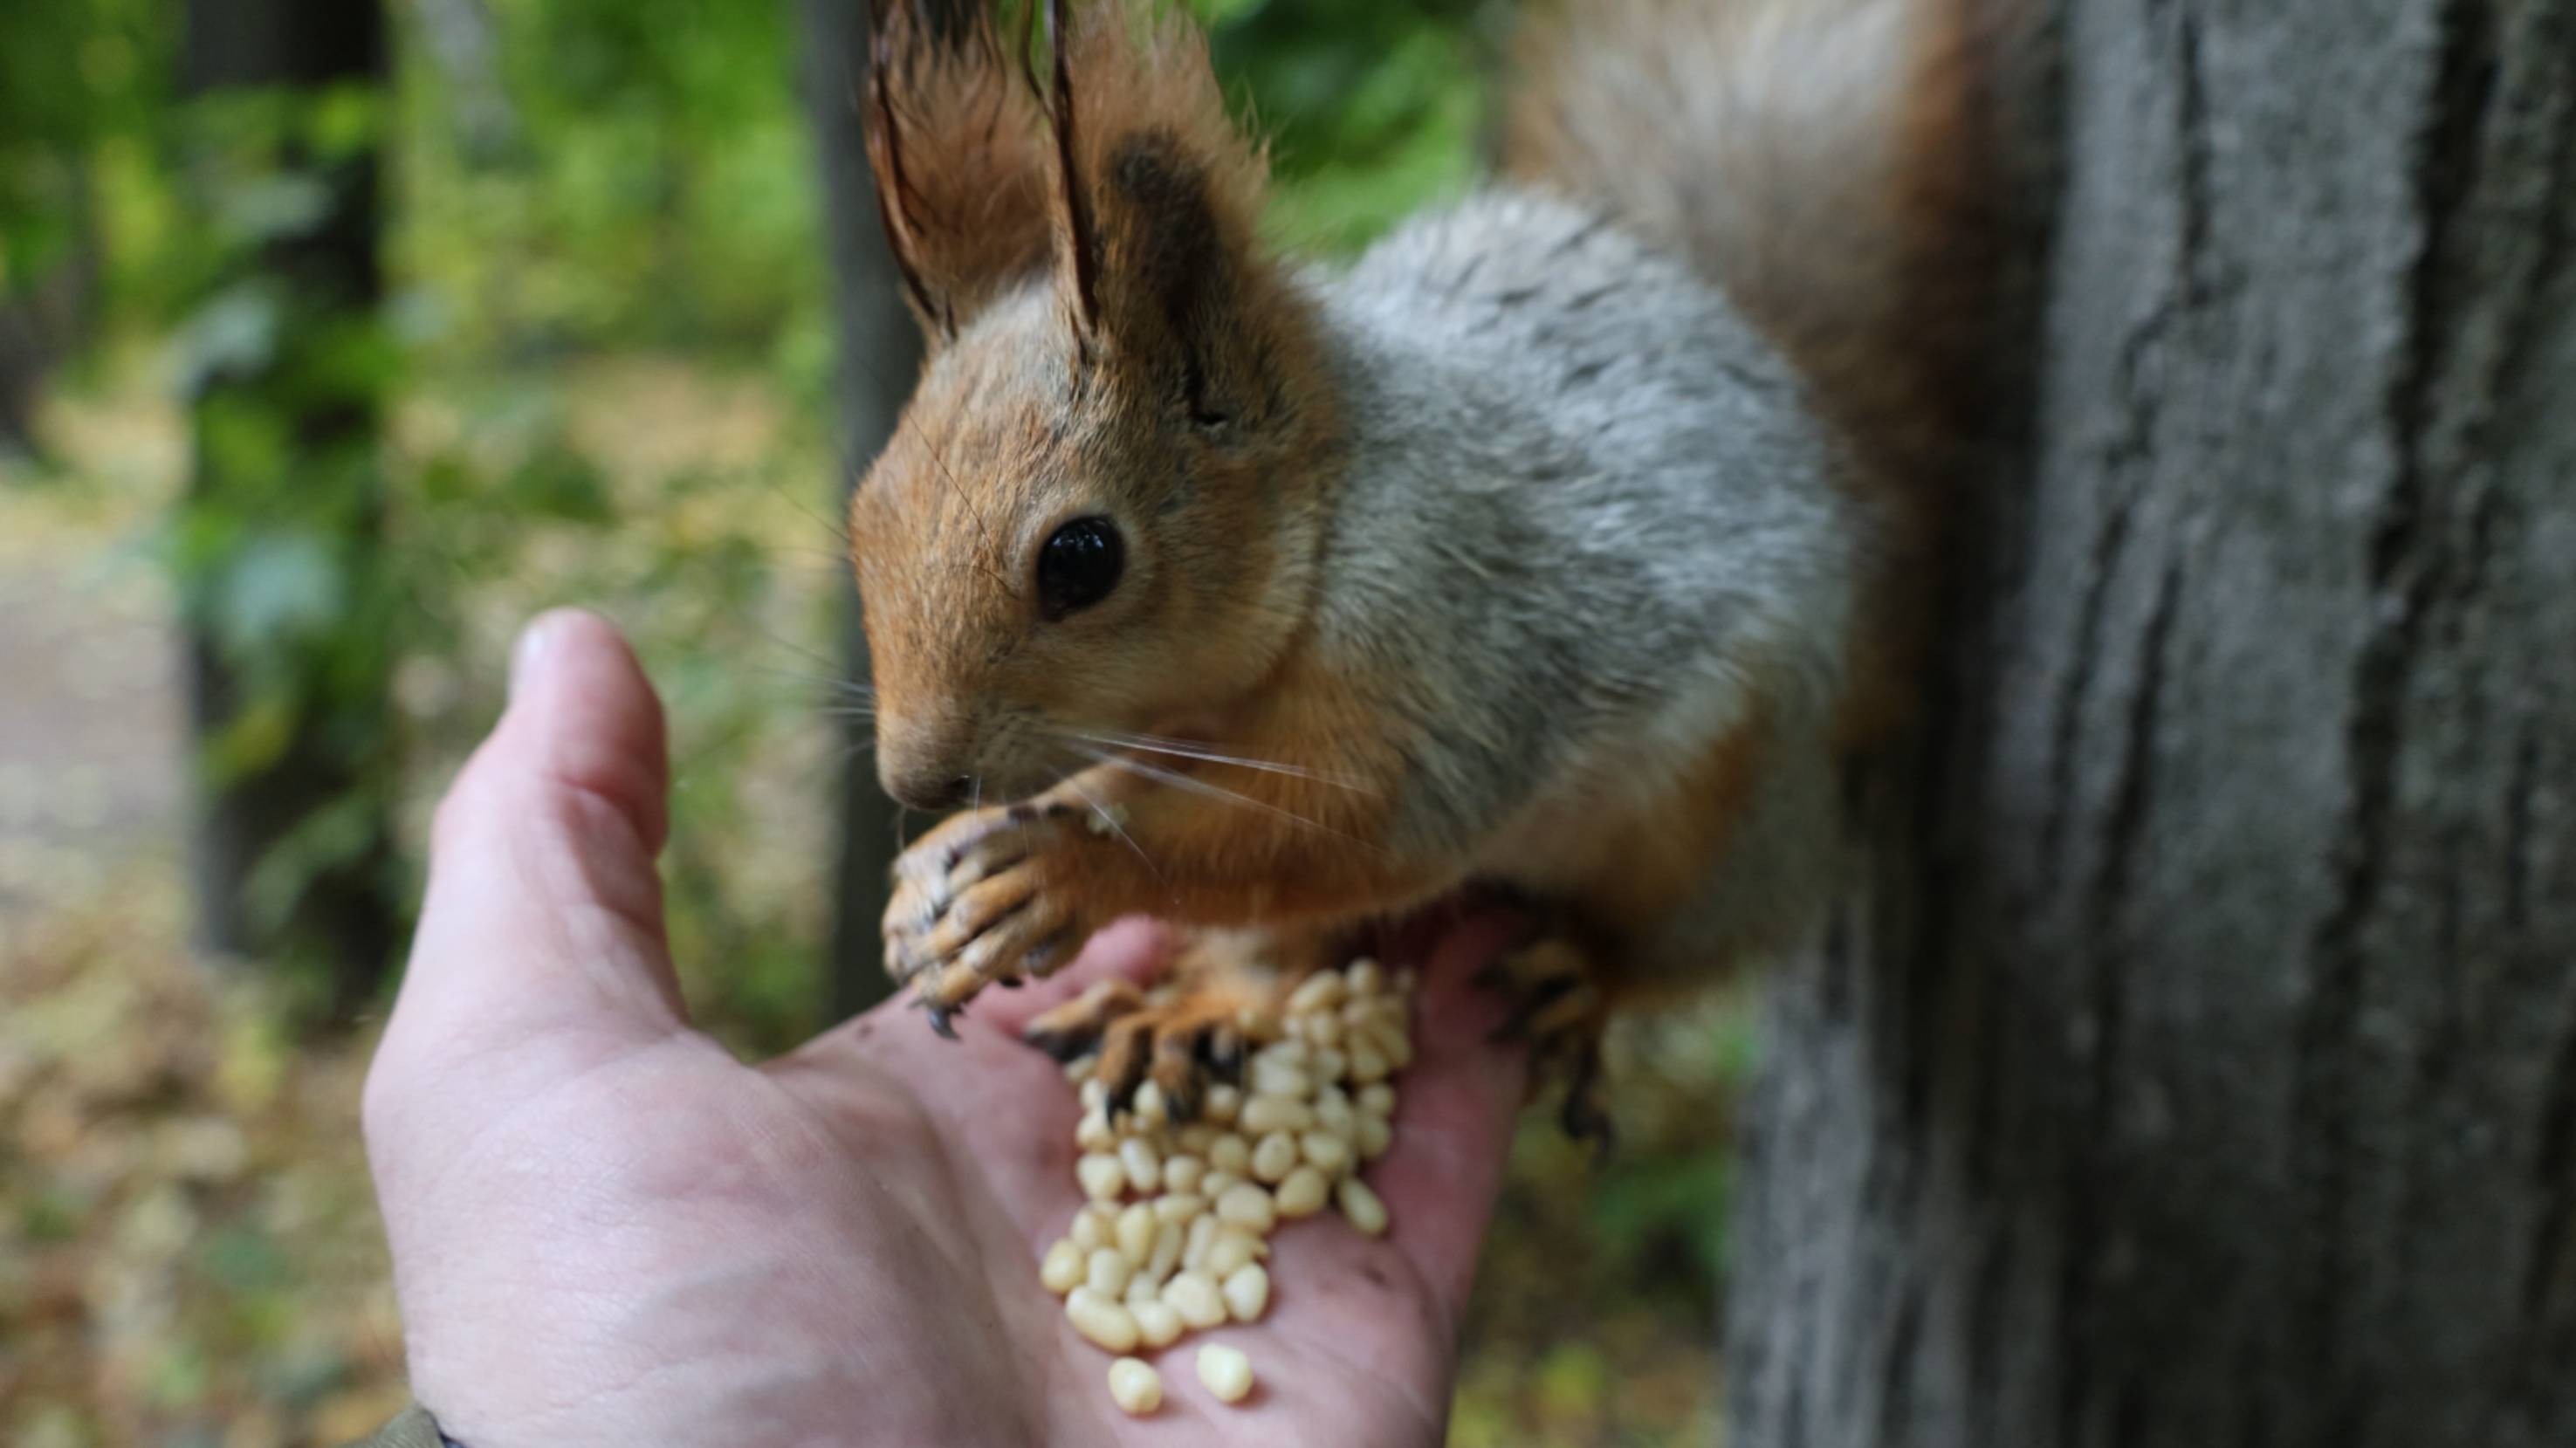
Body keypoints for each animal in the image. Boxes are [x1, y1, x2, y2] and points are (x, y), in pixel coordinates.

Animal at [847, 0, 1992, 1137]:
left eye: (1081, 559)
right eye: (866, 512)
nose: (917, 782)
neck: (1327, 515)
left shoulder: (1449, 638)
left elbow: (1351, 826)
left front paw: (1062, 865)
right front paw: (937, 868)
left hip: (1725, 827)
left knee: (1685, 945)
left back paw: (1584, 972)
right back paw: (1200, 1010)